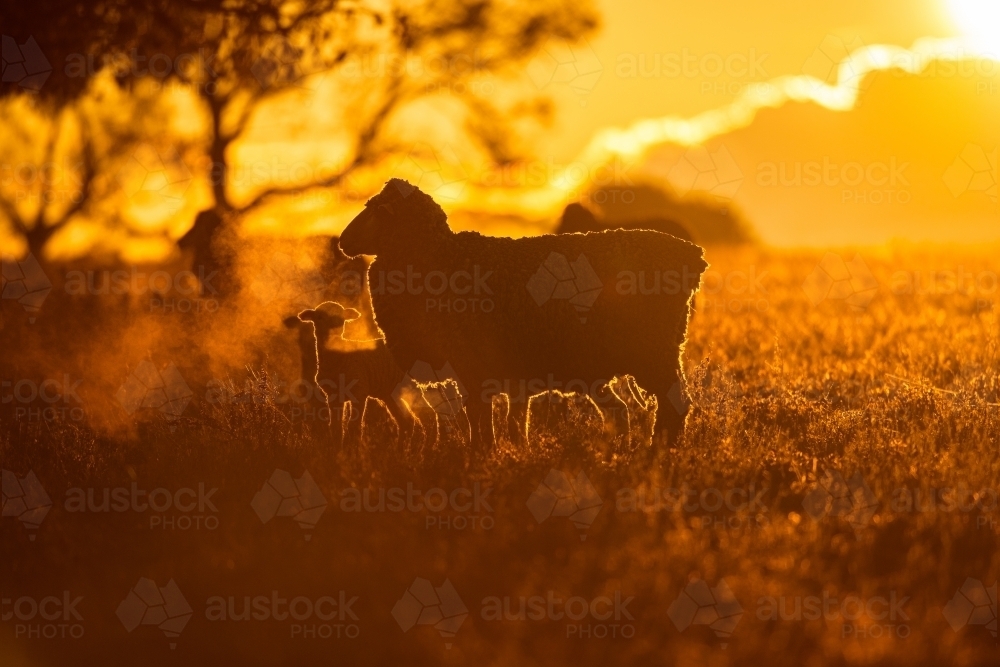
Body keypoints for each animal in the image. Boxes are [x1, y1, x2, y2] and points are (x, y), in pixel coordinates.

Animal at [338, 180, 712, 446]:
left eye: (374, 210)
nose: (342, 240)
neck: (437, 258)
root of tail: (693, 254)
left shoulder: (471, 366)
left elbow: (480, 421)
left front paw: (481, 458)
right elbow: (503, 424)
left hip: (653, 352)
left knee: (674, 406)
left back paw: (655, 456)